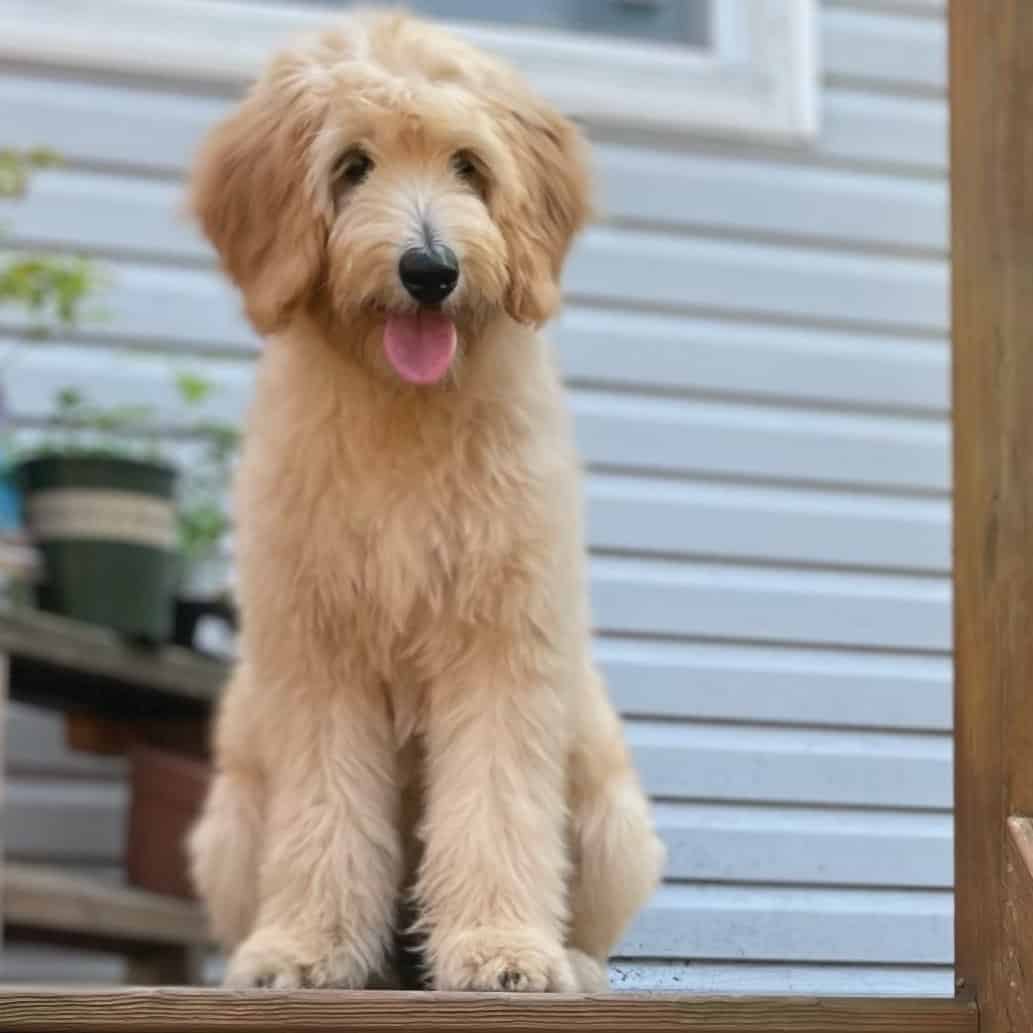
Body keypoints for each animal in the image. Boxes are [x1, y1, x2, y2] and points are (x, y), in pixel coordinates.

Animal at [186, 8, 665, 991]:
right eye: (352, 165)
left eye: (468, 165)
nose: (429, 269)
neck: (404, 412)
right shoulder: (317, 650)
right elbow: (326, 808)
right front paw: (306, 948)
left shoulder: (503, 640)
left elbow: (495, 801)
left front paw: (501, 947)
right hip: (231, 817)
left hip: (611, 808)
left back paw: (569, 958)